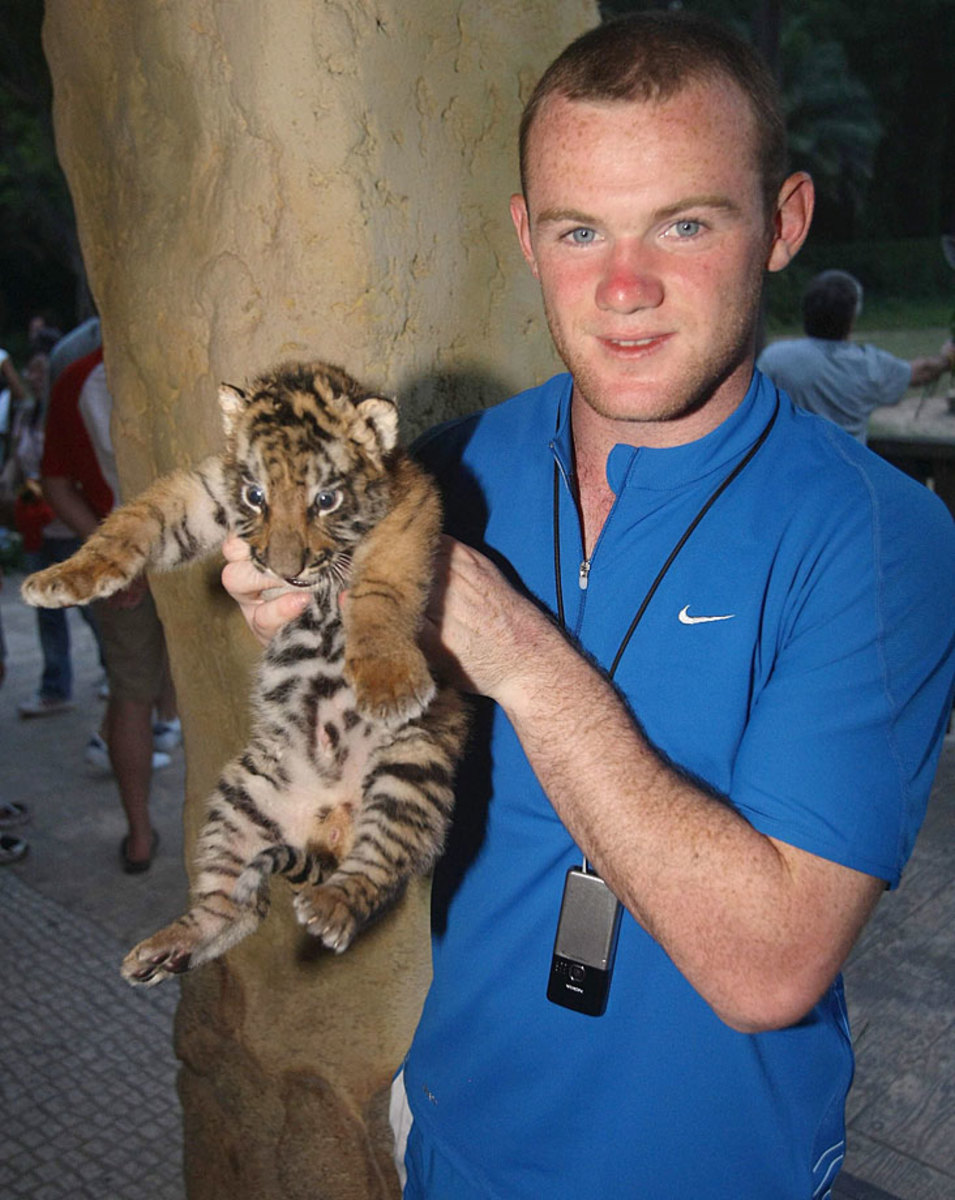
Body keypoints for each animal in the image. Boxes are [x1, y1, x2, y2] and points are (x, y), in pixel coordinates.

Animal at [21, 360, 467, 986]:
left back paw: (333, 907)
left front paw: (387, 682)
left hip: (411, 768)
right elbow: (134, 520)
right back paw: (164, 949)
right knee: (237, 909)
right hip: (242, 797)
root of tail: (330, 828)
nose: (284, 569)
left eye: (325, 499)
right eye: (256, 496)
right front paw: (62, 577)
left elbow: (381, 587)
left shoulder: (409, 508)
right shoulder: (201, 490)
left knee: (376, 869)